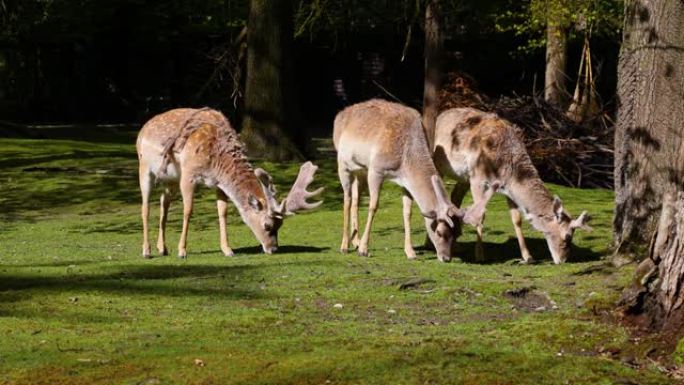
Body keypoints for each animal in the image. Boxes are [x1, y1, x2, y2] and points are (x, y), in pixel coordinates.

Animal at [138, 107, 324, 258]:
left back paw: (162, 248)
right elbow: (188, 211)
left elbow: (223, 212)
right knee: (145, 207)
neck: (217, 159)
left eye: (281, 225)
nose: (273, 249)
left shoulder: (217, 183)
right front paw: (182, 251)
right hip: (145, 167)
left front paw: (228, 250)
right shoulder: (188, 174)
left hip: (170, 178)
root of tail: (142, 129)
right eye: (267, 225)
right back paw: (146, 251)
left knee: (163, 202)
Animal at [332, 99, 496, 260]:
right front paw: (364, 250)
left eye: (457, 233)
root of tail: (339, 115)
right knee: (347, 199)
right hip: (343, 164)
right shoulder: (376, 170)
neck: (405, 157)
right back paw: (345, 246)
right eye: (440, 232)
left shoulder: (404, 182)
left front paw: (410, 252)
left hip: (360, 170)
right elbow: (373, 206)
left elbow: (407, 212)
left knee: (355, 198)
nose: (446, 258)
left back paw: (355, 241)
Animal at [436, 108, 592, 264]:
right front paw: (479, 256)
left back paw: (455, 243)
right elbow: (480, 215)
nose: (563, 260)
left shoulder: (507, 188)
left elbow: (517, 219)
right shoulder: (477, 178)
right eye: (567, 236)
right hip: (441, 164)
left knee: (455, 195)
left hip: (463, 177)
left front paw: (527, 257)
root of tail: (442, 114)